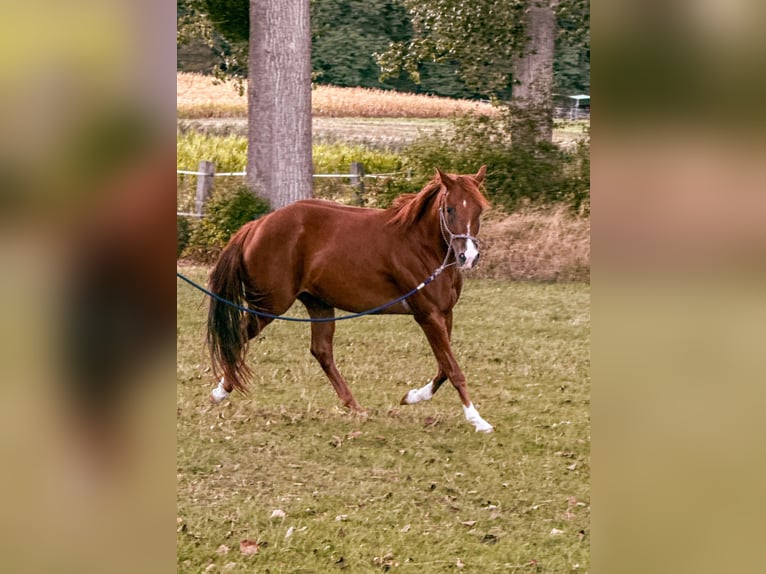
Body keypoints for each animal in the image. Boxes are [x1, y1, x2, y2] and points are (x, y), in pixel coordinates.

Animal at [206, 166, 494, 432]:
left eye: (479, 210)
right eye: (450, 209)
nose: (468, 256)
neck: (420, 245)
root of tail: (255, 227)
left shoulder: (444, 313)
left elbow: (444, 368)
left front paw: (412, 397)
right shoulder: (427, 315)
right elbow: (453, 369)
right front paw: (478, 420)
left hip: (318, 303)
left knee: (321, 351)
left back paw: (354, 406)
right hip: (270, 305)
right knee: (238, 336)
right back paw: (219, 392)